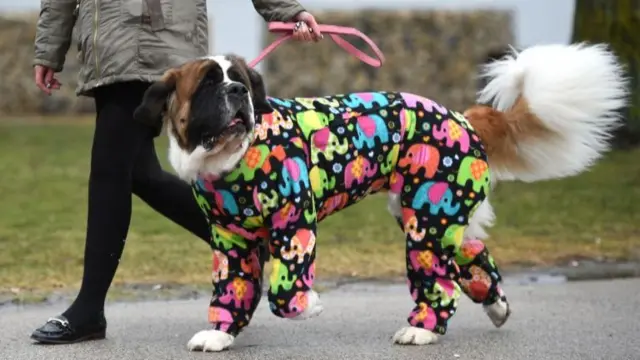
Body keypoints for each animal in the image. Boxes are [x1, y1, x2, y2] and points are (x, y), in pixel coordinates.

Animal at [132, 43, 628, 352]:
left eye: (238, 80)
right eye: (207, 84)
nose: (237, 92)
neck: (232, 161)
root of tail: (462, 117)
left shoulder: (295, 225)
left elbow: (283, 289)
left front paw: (308, 305)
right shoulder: (230, 242)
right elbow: (232, 288)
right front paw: (219, 334)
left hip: (428, 217)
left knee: (439, 277)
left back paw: (422, 330)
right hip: (429, 210)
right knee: (471, 249)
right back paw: (496, 303)